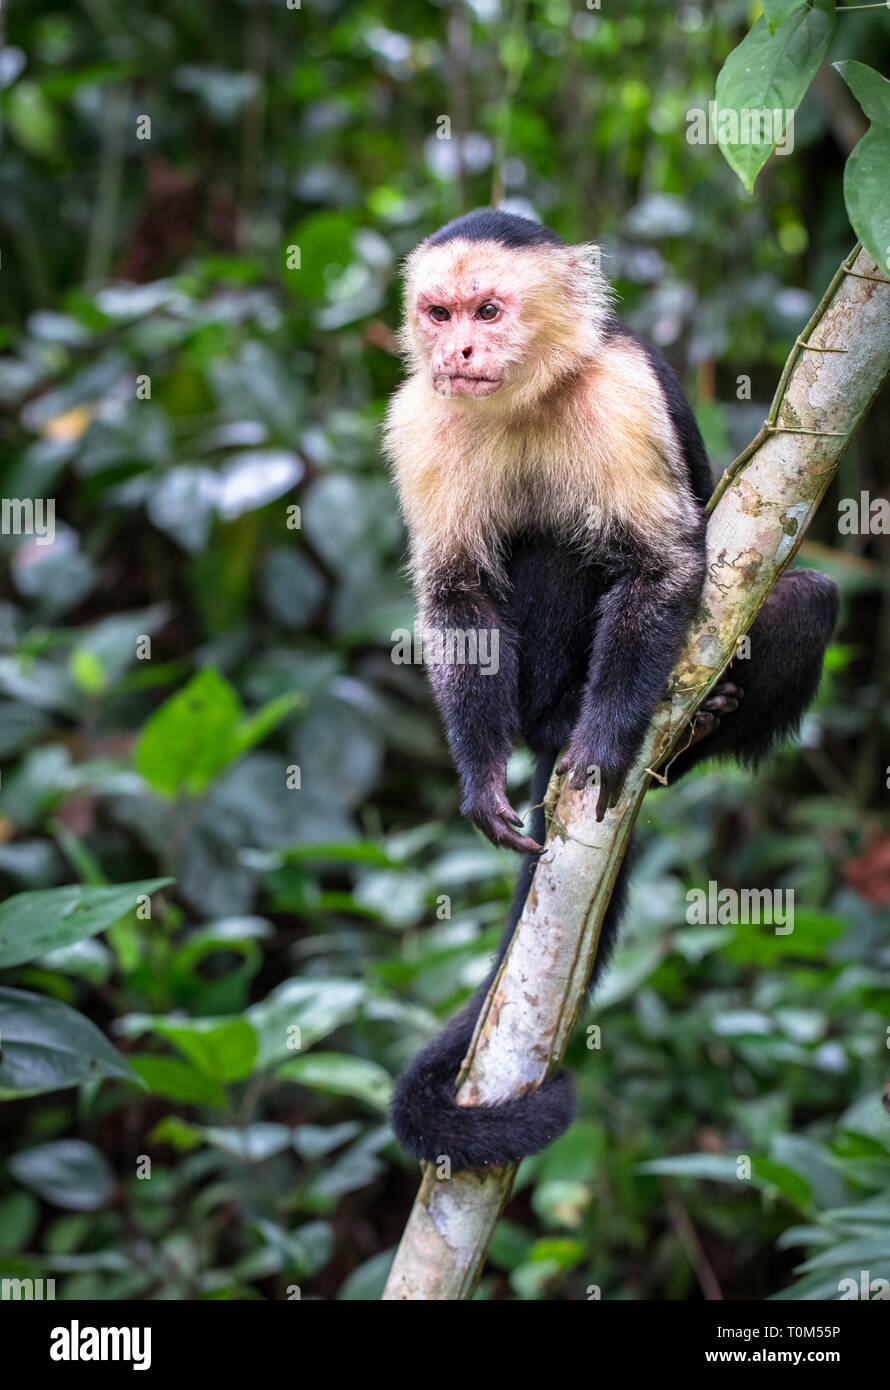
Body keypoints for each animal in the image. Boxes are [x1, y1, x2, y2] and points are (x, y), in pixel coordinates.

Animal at [383, 208, 839, 1173]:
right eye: (440, 314)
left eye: (489, 309)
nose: (461, 349)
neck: (526, 398)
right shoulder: (417, 416)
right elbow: (458, 600)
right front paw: (483, 779)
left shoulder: (624, 390)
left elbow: (660, 566)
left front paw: (600, 743)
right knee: (539, 549)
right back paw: (560, 725)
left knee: (807, 598)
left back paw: (680, 728)